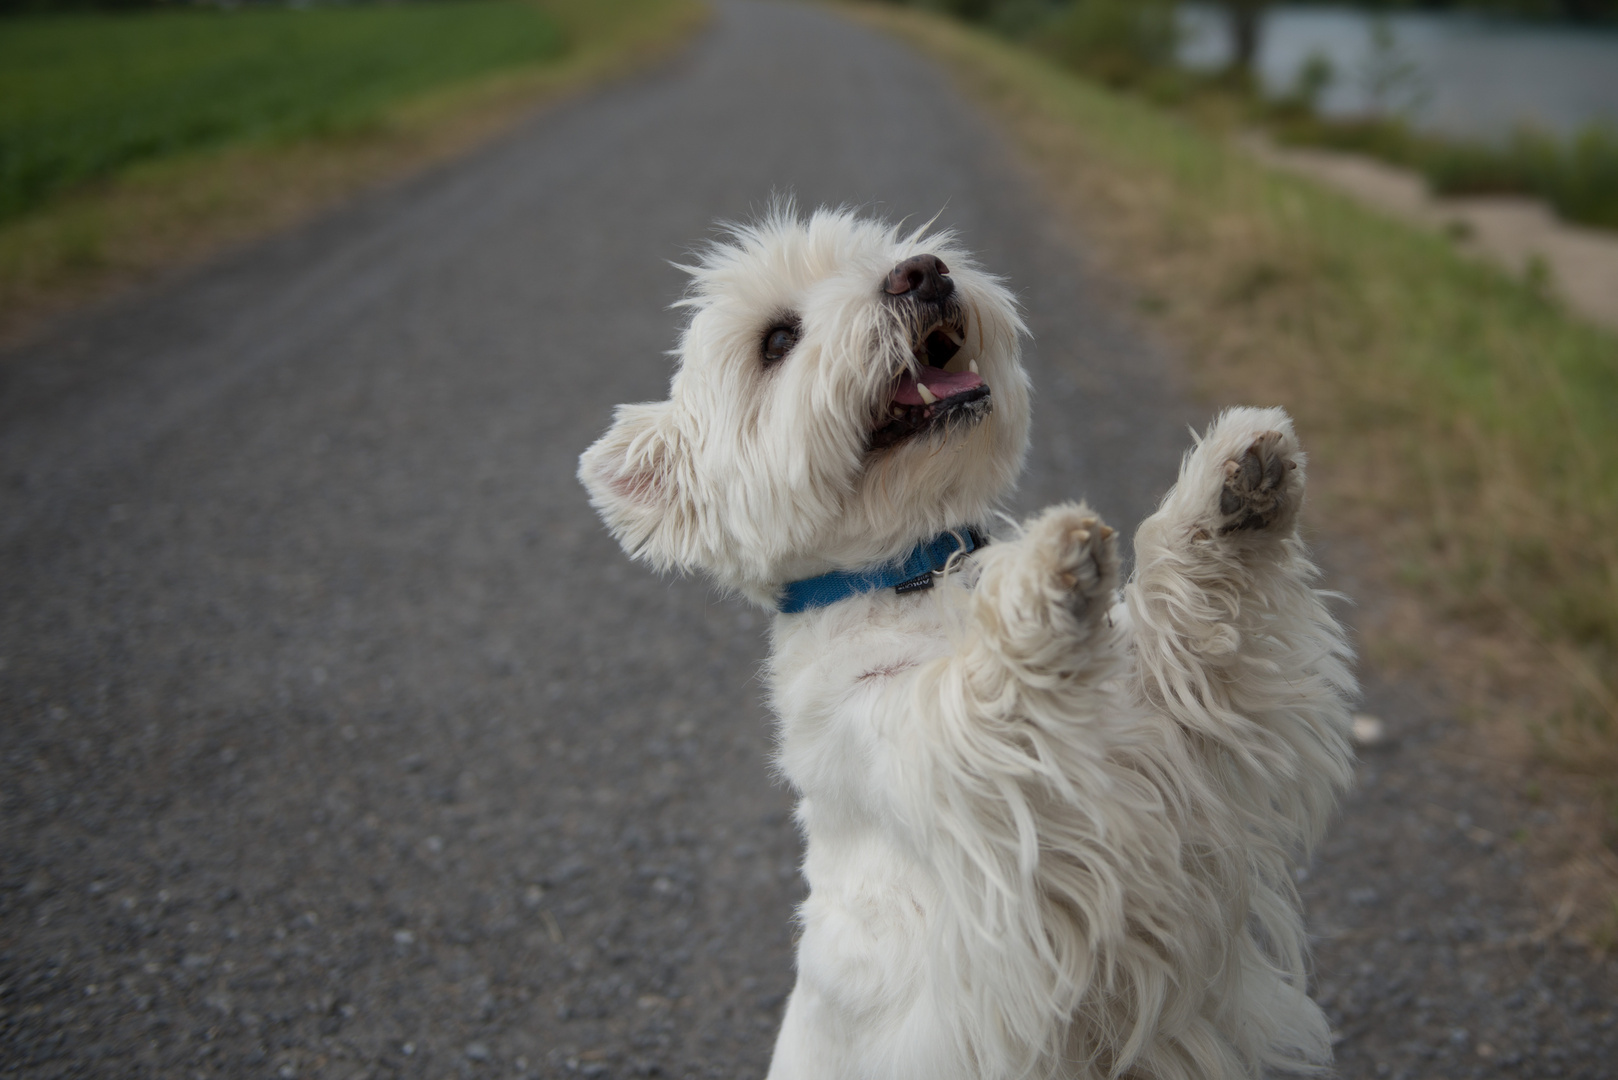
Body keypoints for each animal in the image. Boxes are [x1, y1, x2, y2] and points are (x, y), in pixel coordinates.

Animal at [579, 207, 1352, 1075]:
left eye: (880, 252)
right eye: (775, 340)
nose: (922, 273)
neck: (915, 574)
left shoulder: (1171, 734)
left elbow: (1191, 623)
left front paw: (1236, 481)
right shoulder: (975, 787)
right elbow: (983, 691)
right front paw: (1046, 570)